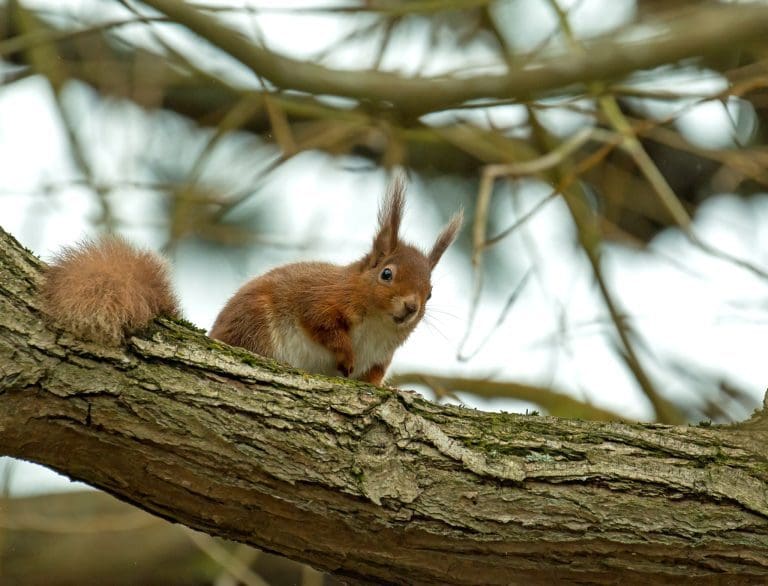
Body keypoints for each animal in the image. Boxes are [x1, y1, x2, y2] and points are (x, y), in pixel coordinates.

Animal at [42, 173, 463, 385]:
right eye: (386, 273)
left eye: (430, 292)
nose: (411, 307)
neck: (377, 327)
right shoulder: (320, 299)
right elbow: (323, 326)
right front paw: (344, 356)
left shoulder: (381, 357)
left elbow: (373, 377)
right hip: (258, 325)